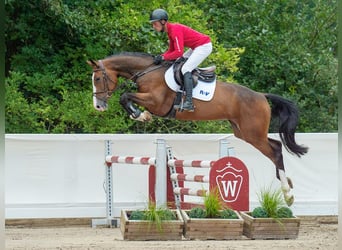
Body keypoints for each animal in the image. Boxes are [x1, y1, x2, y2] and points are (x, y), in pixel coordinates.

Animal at [87, 51, 308, 206]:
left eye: (97, 79)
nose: (98, 106)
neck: (147, 72)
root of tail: (261, 95)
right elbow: (126, 97)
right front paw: (139, 115)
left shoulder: (157, 102)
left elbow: (125, 96)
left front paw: (140, 115)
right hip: (245, 132)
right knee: (276, 145)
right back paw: (288, 186)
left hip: (253, 134)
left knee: (275, 151)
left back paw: (288, 194)